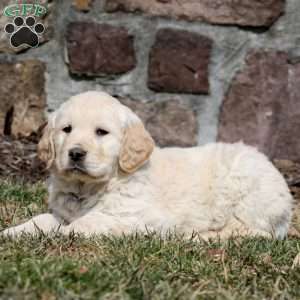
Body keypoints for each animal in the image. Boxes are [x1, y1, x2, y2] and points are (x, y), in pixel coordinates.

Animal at [2, 91, 292, 239]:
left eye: (101, 132)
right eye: (66, 129)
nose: (75, 153)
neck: (90, 187)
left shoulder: (140, 217)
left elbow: (88, 222)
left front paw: (63, 234)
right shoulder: (62, 212)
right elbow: (41, 220)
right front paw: (14, 231)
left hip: (247, 191)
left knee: (256, 232)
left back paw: (205, 236)